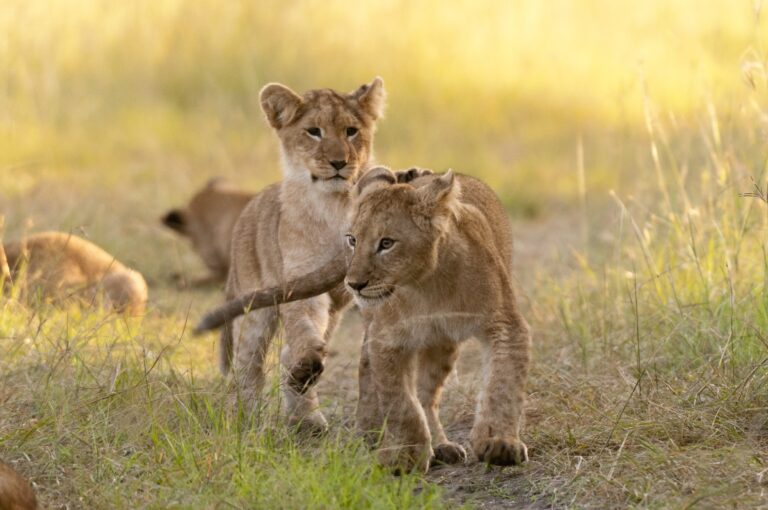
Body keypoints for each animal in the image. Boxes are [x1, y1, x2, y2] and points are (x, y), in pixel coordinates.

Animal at [196, 167, 532, 473]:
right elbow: (400, 401)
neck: (427, 284)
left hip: (442, 343)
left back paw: (439, 446)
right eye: (353, 240)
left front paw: (499, 444)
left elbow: (501, 385)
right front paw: (406, 456)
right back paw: (368, 434)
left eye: (386, 243)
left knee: (427, 393)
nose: (354, 283)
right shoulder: (388, 338)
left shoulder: (504, 324)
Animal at [220, 78, 385, 432]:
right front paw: (307, 363)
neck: (335, 205)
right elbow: (304, 331)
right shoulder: (301, 280)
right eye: (314, 132)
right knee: (248, 362)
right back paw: (242, 416)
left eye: (351, 131)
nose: (339, 163)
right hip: (254, 308)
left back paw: (305, 420)